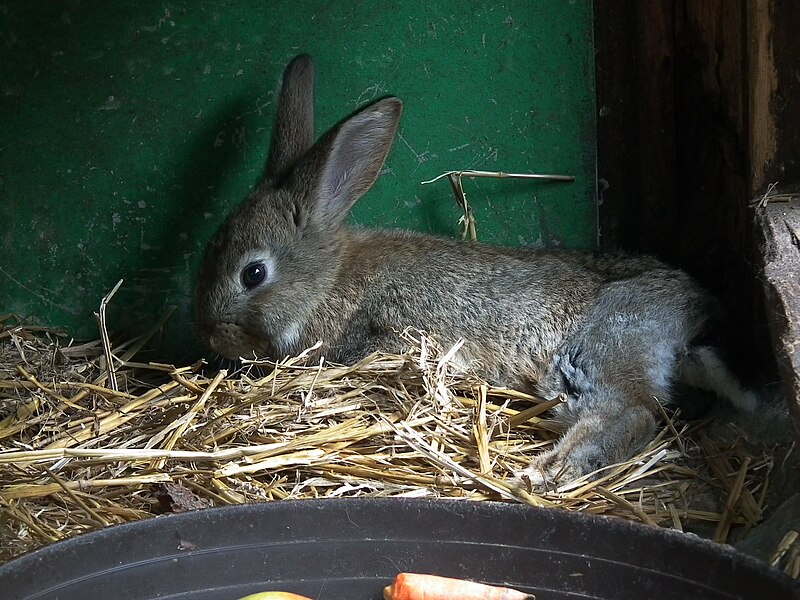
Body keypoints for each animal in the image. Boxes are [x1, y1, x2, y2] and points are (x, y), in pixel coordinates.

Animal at [195, 54, 756, 490]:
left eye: (253, 274)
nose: (208, 332)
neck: (326, 282)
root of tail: (689, 312)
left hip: (598, 348)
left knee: (628, 412)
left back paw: (549, 470)